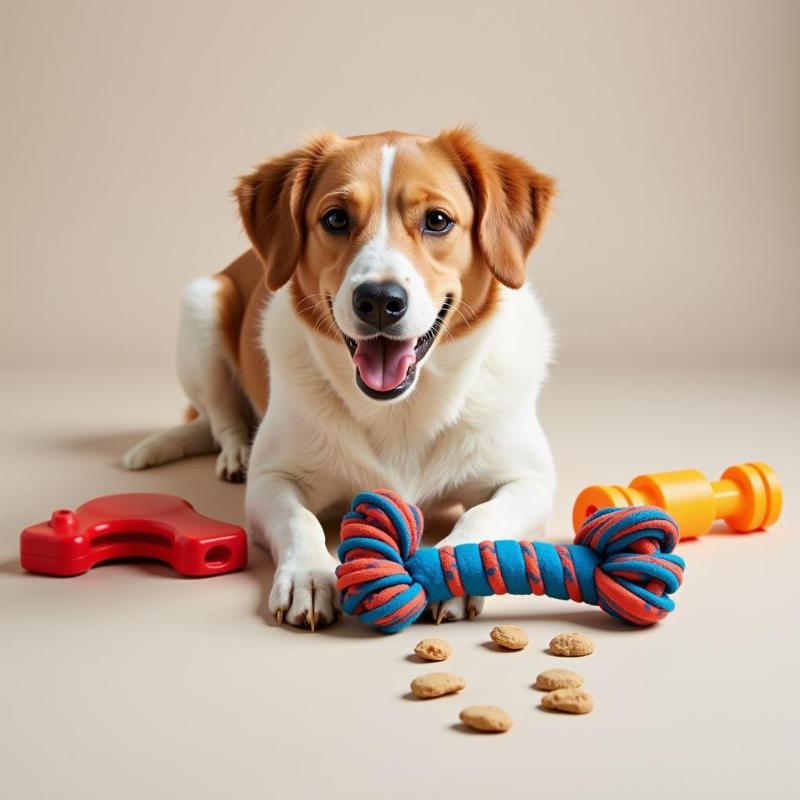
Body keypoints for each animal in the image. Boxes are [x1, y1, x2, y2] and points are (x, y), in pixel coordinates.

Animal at [125, 128, 560, 632]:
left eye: (437, 220)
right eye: (335, 218)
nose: (380, 300)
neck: (400, 409)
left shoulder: (530, 481)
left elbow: (482, 516)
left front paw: (455, 567)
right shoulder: (271, 481)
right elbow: (300, 521)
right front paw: (309, 575)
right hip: (202, 306)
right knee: (220, 417)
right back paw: (235, 451)